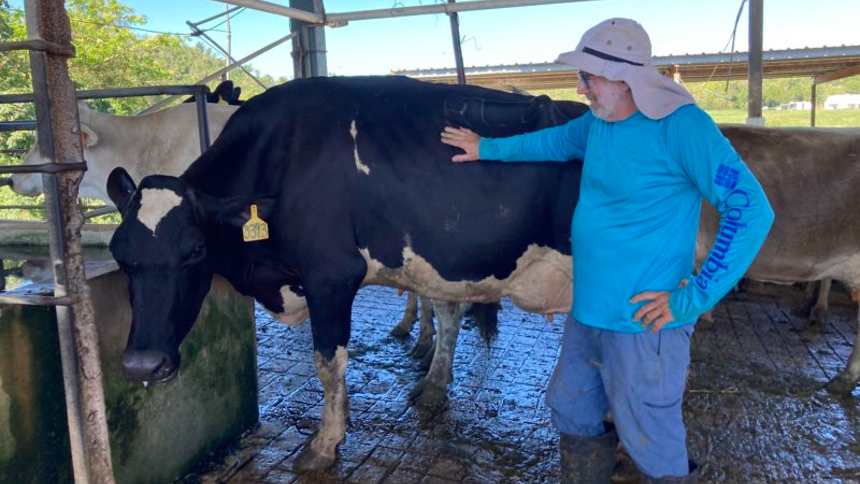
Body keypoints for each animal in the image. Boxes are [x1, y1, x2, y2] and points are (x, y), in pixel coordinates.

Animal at [107, 75, 588, 472]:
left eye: (195, 250)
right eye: (120, 254)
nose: (142, 363)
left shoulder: (331, 275)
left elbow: (328, 362)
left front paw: (325, 444)